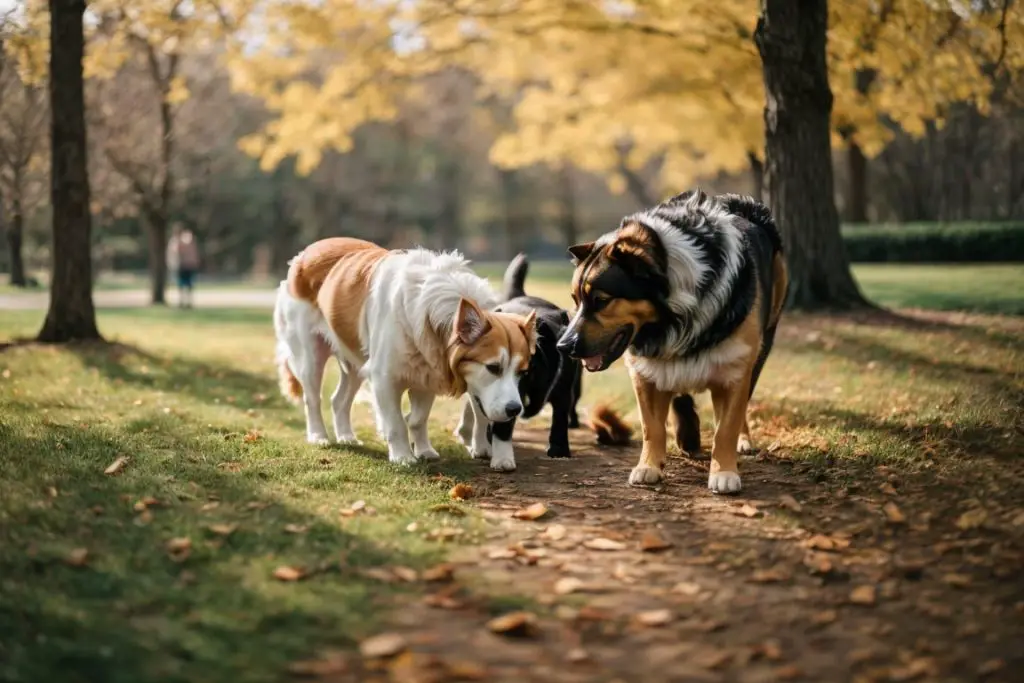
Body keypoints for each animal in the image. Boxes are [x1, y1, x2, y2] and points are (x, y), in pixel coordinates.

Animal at [276, 236, 540, 471]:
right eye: (493, 367)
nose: (515, 410)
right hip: (310, 357)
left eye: (522, 372)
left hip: (355, 364)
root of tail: (306, 252)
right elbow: (396, 423)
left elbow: (417, 419)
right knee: (313, 399)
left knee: (338, 400)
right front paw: (403, 456)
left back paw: (346, 436)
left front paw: (424, 451)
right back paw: (318, 436)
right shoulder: (383, 378)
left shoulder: (427, 374)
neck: (434, 315)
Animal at [557, 189, 786, 493]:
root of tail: (741, 206)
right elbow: (651, 427)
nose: (563, 346)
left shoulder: (735, 367)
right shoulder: (644, 372)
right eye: (576, 300)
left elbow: (726, 427)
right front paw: (648, 466)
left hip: (762, 346)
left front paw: (724, 471)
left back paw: (740, 439)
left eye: (601, 300)